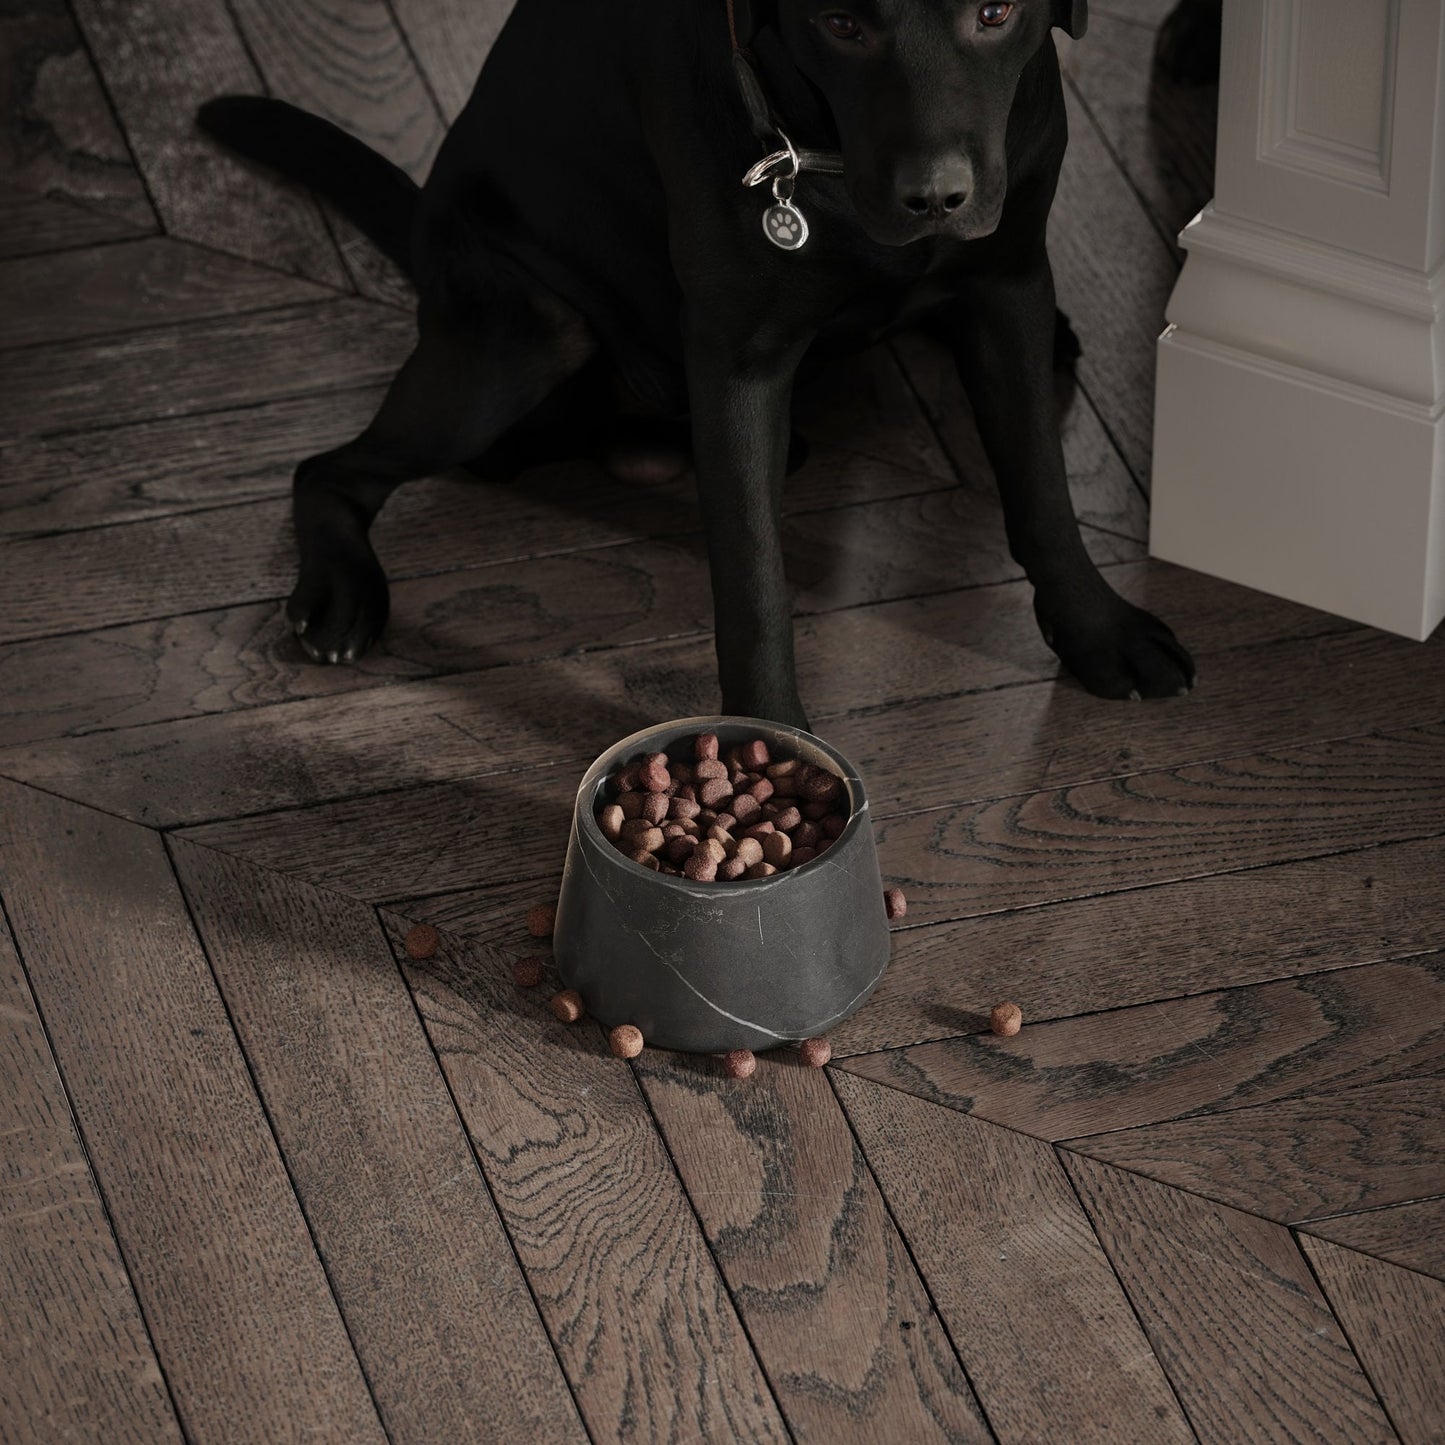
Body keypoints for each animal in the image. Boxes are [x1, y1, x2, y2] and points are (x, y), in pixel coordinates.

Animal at [203, 0, 1196, 722]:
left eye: (993, 12)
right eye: (842, 24)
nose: (934, 200)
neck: (820, 167)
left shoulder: (1008, 284)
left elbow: (1041, 490)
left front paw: (1096, 630)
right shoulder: (737, 365)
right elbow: (752, 584)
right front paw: (773, 745)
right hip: (524, 337)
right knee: (328, 469)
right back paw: (339, 590)